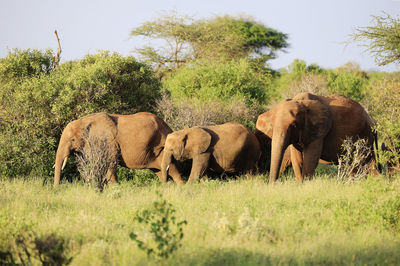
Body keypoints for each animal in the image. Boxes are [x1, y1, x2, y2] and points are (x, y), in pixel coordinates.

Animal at [53, 111, 184, 185]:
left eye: (72, 140)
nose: (57, 189)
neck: (84, 121)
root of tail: (168, 127)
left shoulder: (108, 142)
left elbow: (109, 164)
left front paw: (115, 189)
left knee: (172, 170)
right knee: (162, 173)